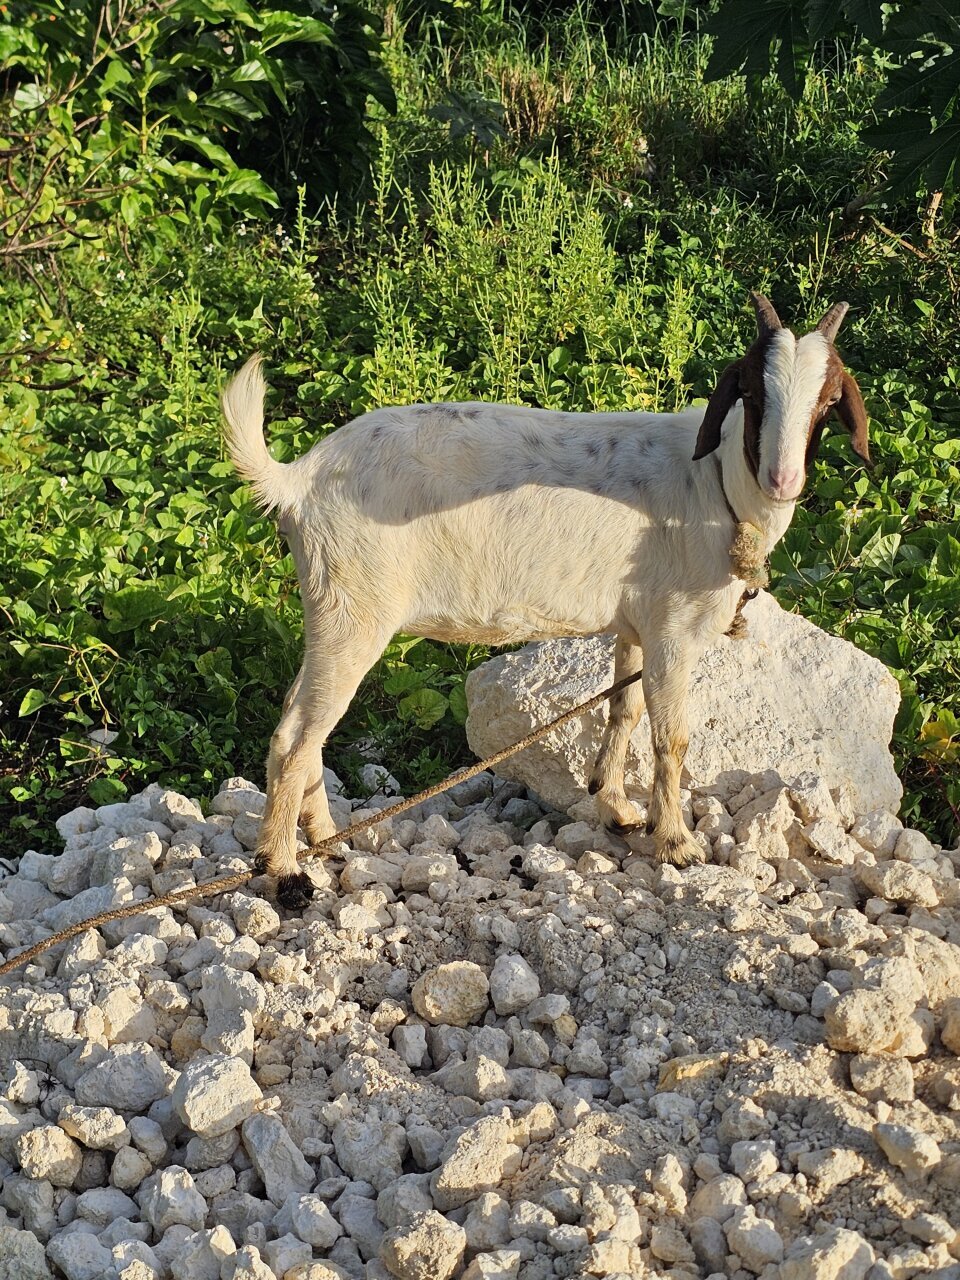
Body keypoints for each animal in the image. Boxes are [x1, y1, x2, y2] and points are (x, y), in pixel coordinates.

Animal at [222, 293, 871, 909]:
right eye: (752, 392)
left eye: (826, 401)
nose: (782, 480)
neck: (716, 484)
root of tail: (298, 479)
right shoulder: (674, 631)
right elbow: (672, 737)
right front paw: (677, 843)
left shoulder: (638, 623)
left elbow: (624, 710)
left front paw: (615, 807)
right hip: (354, 606)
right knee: (296, 735)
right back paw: (285, 872)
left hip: (332, 608)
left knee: (303, 720)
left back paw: (324, 839)